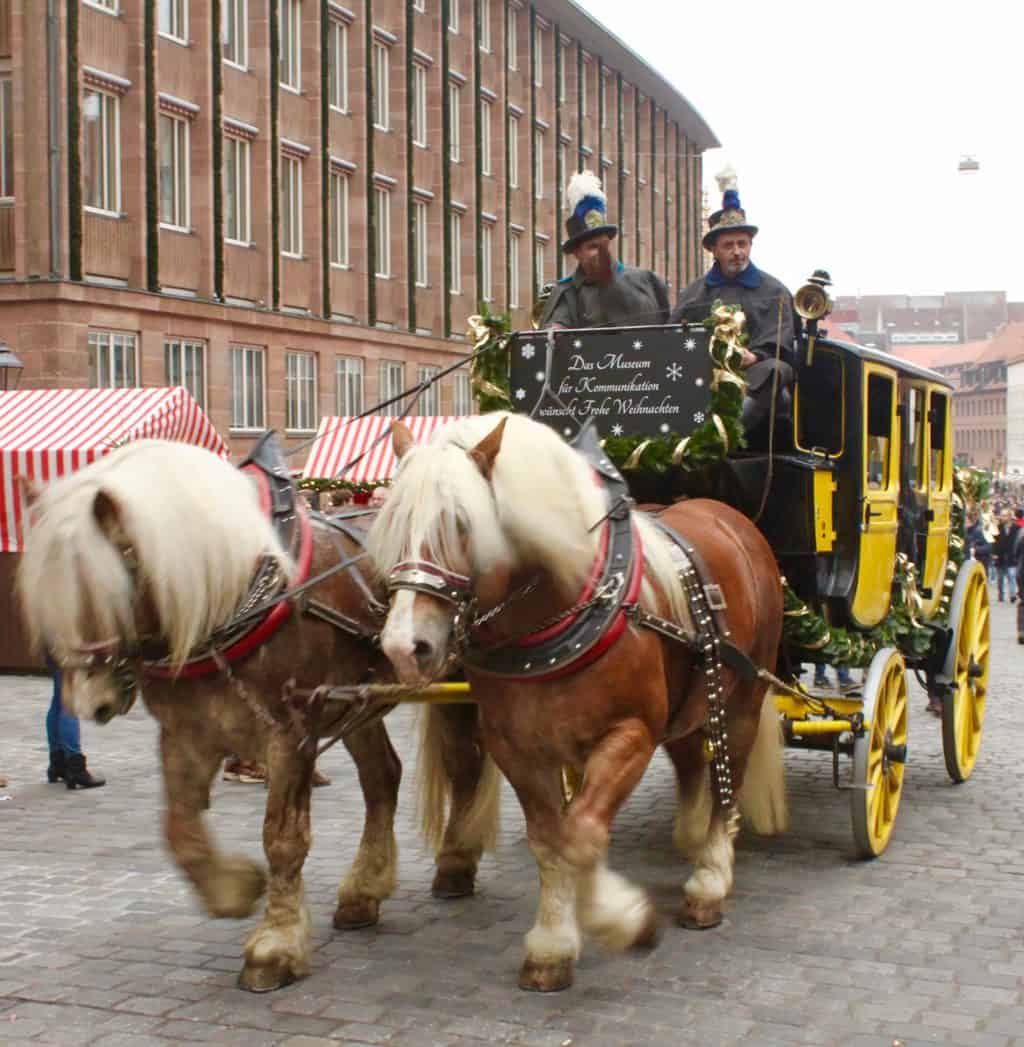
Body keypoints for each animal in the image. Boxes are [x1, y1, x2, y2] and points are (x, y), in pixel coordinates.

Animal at [18, 437, 498, 992]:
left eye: (109, 583)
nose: (89, 701)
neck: (231, 598)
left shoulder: (290, 731)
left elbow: (283, 839)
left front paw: (275, 946)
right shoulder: (186, 734)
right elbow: (179, 831)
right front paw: (235, 890)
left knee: (463, 762)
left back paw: (455, 863)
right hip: (356, 699)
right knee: (384, 776)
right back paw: (364, 891)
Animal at [370, 412, 787, 992]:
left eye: (461, 523)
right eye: (391, 523)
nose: (405, 647)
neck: (560, 615)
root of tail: (730, 518)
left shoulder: (630, 735)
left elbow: (583, 834)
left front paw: (622, 919)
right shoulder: (518, 749)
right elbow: (552, 841)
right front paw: (553, 945)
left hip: (745, 696)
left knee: (732, 772)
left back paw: (709, 876)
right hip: (688, 702)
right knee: (690, 762)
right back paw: (690, 836)